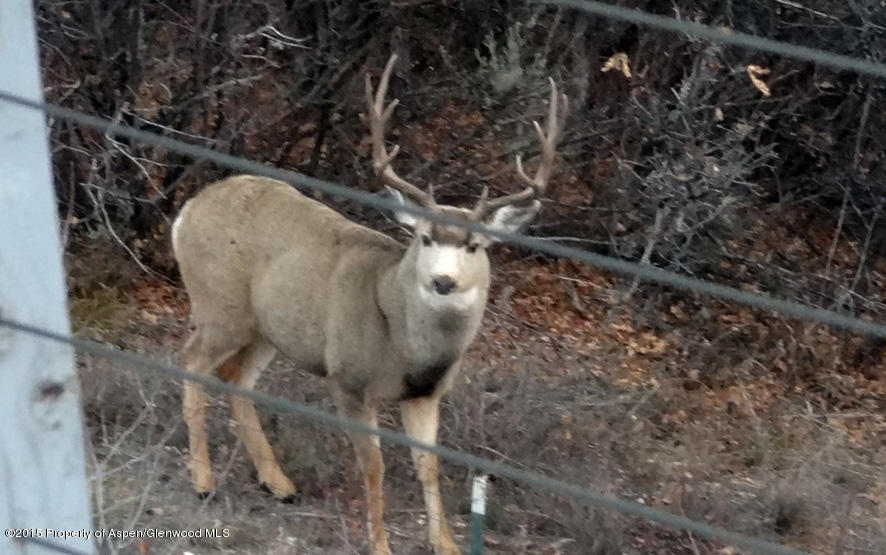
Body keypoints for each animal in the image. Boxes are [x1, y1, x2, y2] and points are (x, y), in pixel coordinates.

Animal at [171, 54, 566, 555]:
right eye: (425, 237)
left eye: (475, 245)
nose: (442, 280)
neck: (399, 338)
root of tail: (186, 213)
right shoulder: (349, 379)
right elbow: (374, 467)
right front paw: (380, 545)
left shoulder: (426, 395)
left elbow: (429, 466)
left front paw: (447, 544)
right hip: (220, 303)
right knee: (192, 362)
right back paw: (202, 481)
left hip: (268, 327)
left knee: (236, 377)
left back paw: (279, 483)